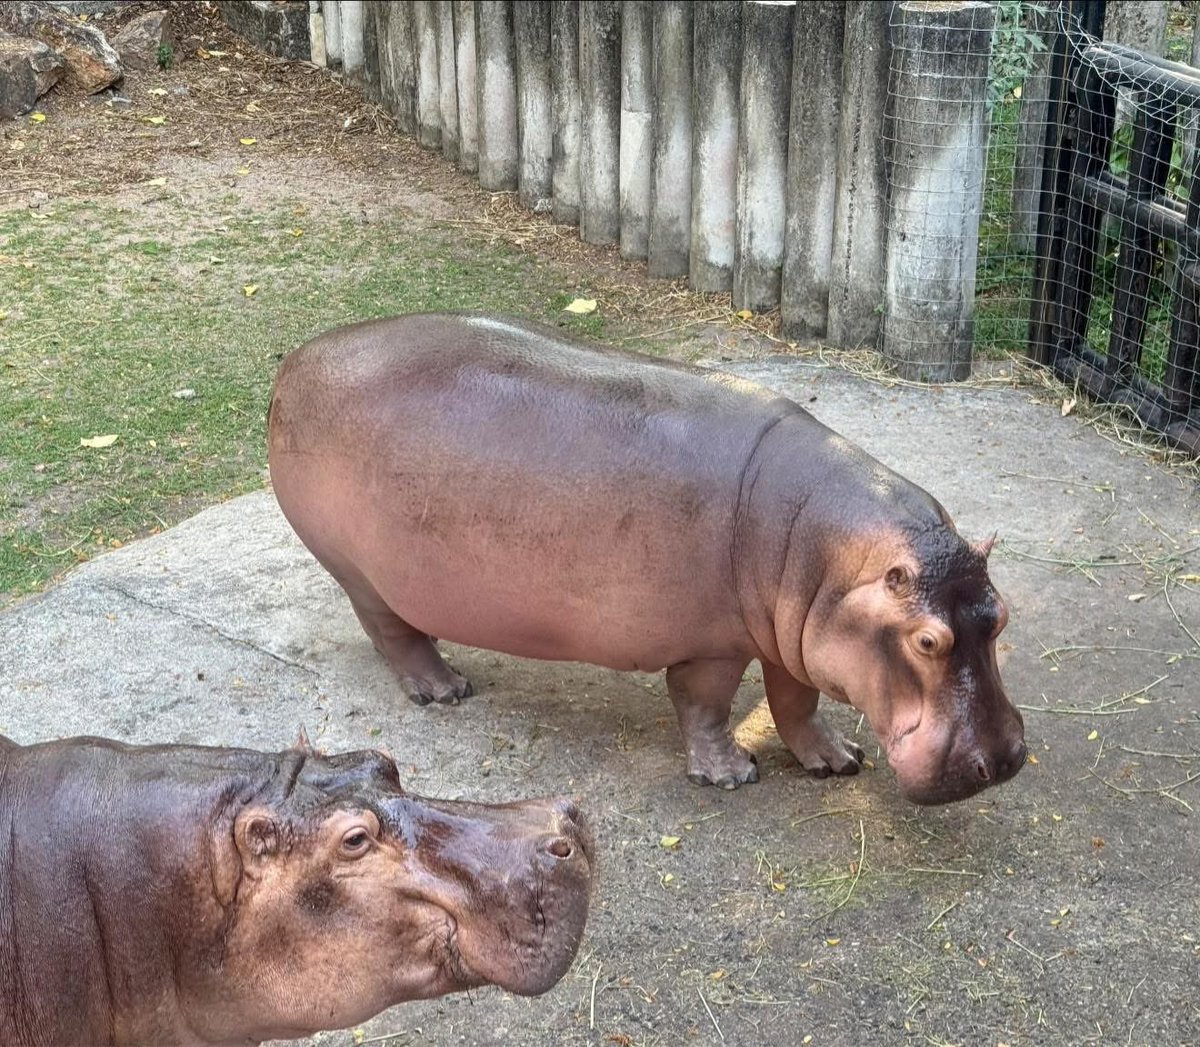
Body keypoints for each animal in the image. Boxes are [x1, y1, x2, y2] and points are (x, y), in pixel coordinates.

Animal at [268, 312, 1026, 804]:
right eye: (927, 640)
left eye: (1001, 616)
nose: (1006, 760)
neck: (830, 555)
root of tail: (298, 358)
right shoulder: (715, 643)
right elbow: (705, 704)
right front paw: (731, 775)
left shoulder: (793, 637)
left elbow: (797, 701)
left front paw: (838, 760)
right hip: (361, 574)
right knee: (392, 631)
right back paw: (445, 689)